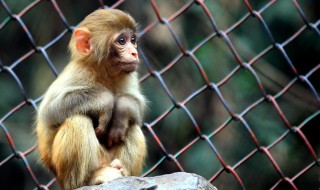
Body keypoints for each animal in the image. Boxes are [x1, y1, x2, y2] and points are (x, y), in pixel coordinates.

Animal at [36, 8, 148, 190]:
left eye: (133, 40)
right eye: (122, 41)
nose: (134, 52)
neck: (104, 74)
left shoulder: (130, 75)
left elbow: (137, 106)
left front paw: (121, 109)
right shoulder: (77, 73)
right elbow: (49, 112)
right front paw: (105, 100)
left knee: (132, 126)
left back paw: (122, 170)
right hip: (68, 175)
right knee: (78, 121)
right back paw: (89, 179)